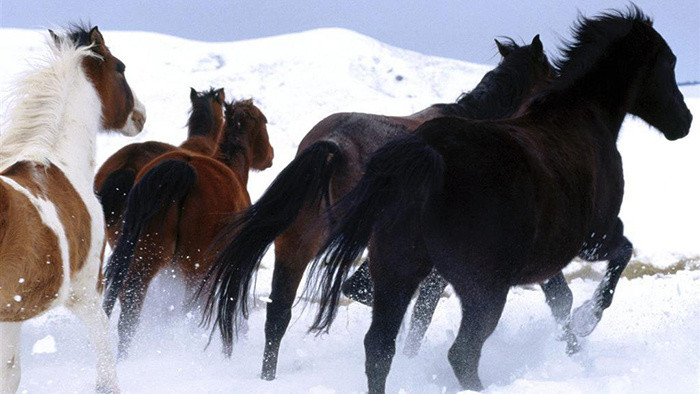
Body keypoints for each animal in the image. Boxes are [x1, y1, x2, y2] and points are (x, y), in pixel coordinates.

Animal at [0, 25, 145, 394]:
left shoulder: (12, 310)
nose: (140, 115)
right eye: (121, 68)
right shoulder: (86, 292)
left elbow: (10, 373)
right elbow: (106, 360)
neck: (61, 162)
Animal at [104, 98, 274, 358]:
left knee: (130, 311)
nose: (270, 154)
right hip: (194, 269)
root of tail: (182, 169)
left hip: (144, 261)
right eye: (264, 121)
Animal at [310, 8, 688, 390]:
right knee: (461, 352)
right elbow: (619, 258)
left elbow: (562, 300)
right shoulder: (594, 237)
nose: (684, 121)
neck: (581, 116)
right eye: (669, 62)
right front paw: (586, 323)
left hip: (397, 273)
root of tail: (428, 154)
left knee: (379, 347)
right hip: (483, 291)